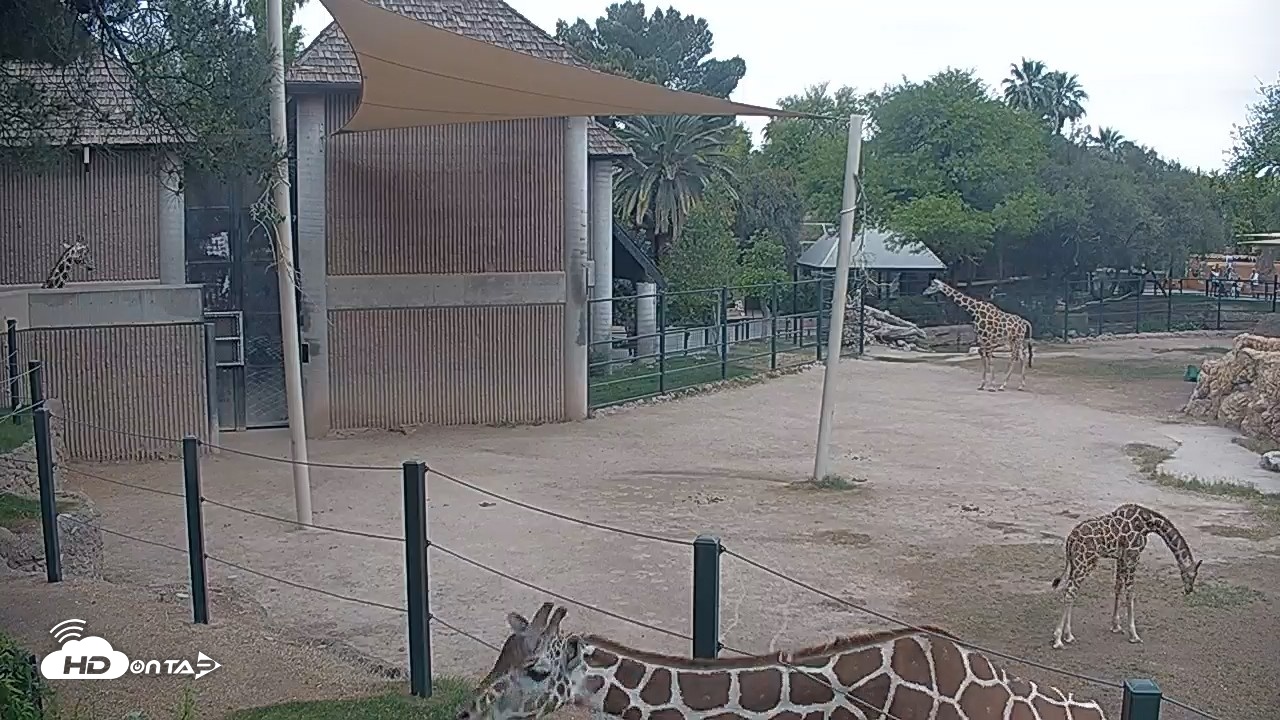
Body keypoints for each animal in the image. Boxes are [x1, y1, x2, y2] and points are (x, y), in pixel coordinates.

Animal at [1051, 503, 1202, 650]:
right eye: (1192, 575)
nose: (1189, 590)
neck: (1148, 523)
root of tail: (1070, 539)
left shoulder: (1121, 558)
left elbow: (1118, 587)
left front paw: (1116, 626)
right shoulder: (1133, 555)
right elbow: (1130, 593)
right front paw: (1134, 635)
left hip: (1075, 563)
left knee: (1070, 590)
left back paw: (1068, 635)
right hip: (1085, 562)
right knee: (1070, 592)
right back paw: (1058, 639)